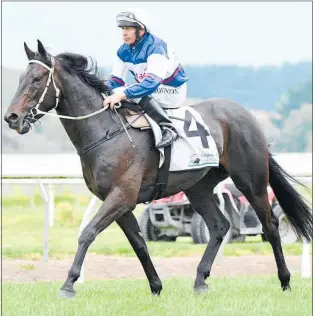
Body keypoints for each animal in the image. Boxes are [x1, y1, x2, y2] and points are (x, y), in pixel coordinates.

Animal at [3, 40, 310, 298]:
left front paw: (68, 284)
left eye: (37, 79)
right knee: (219, 225)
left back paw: (285, 280)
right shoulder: (119, 201)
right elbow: (139, 244)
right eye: (19, 79)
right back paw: (200, 280)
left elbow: (87, 233)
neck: (106, 131)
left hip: (251, 181)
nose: (11, 117)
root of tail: (248, 116)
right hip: (198, 187)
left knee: (270, 225)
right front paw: (156, 286)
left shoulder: (122, 195)